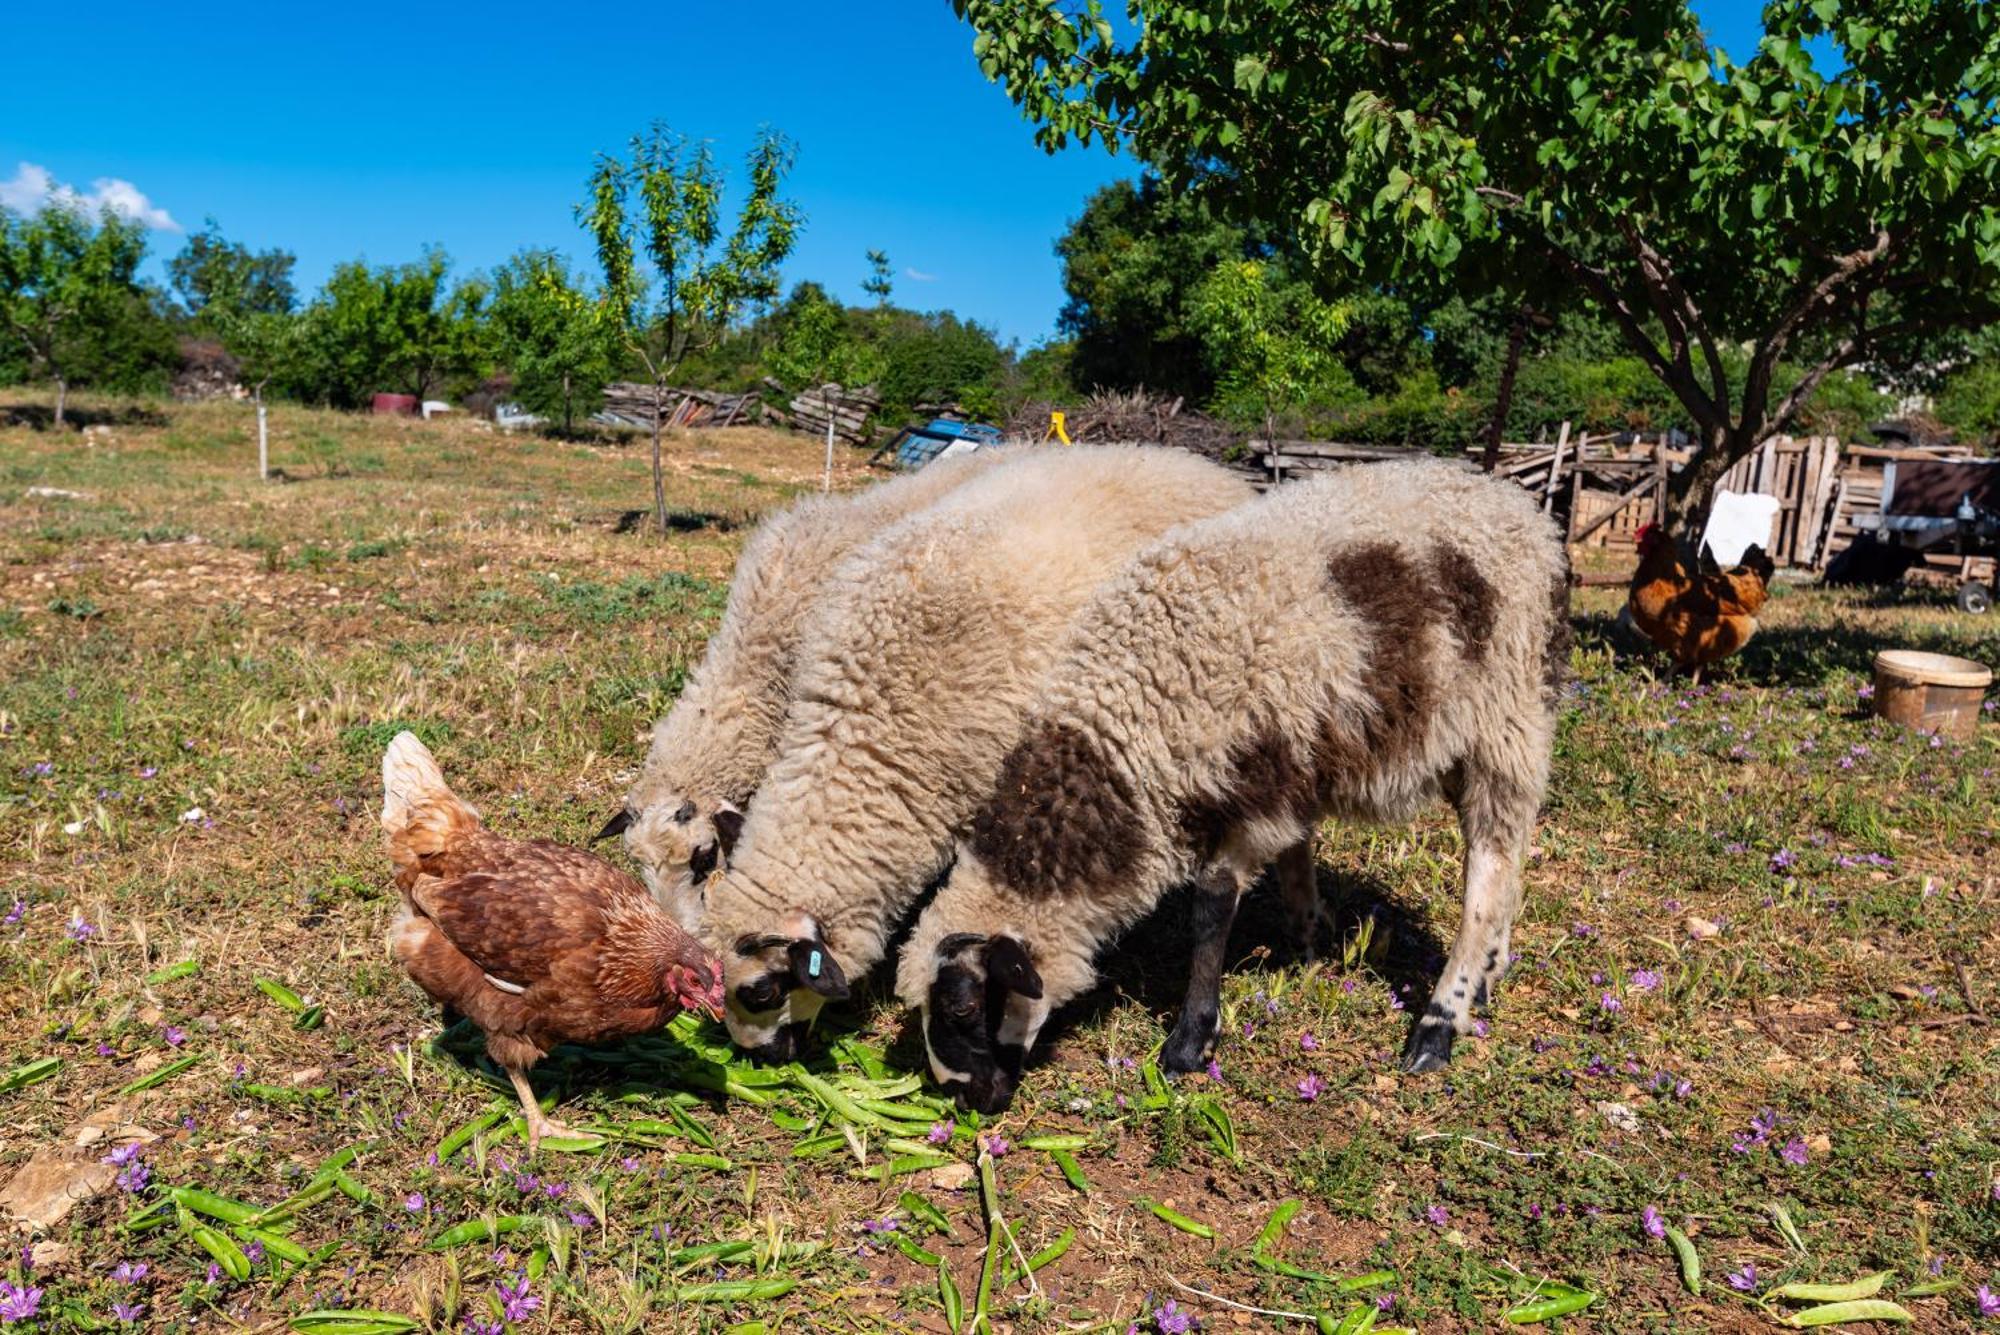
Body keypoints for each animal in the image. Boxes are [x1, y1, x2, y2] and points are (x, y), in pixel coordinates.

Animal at [900, 459, 1568, 1119]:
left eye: (963, 1005)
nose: (964, 1098)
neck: (1122, 725)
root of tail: (1515, 503)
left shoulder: (1248, 789)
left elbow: (1211, 910)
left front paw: (1190, 1042)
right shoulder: (1290, 770)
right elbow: (1295, 859)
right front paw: (1308, 942)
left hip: (1508, 719)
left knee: (1487, 873)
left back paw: (1440, 1023)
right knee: (1508, 864)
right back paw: (1490, 975)